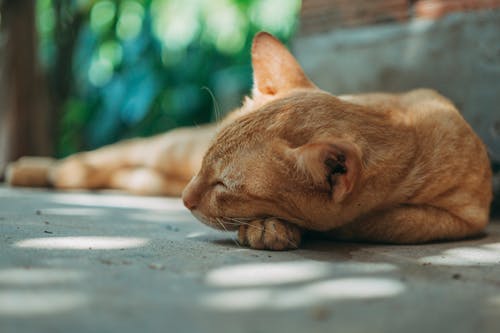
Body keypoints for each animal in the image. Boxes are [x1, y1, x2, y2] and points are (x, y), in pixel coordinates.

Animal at [7, 32, 492, 250]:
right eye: (206, 166)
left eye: (225, 186)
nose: (186, 199)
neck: (405, 127)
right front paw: (273, 227)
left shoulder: (464, 217)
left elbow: (380, 222)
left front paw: (278, 226)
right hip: (165, 150)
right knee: (95, 160)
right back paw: (32, 169)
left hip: (151, 178)